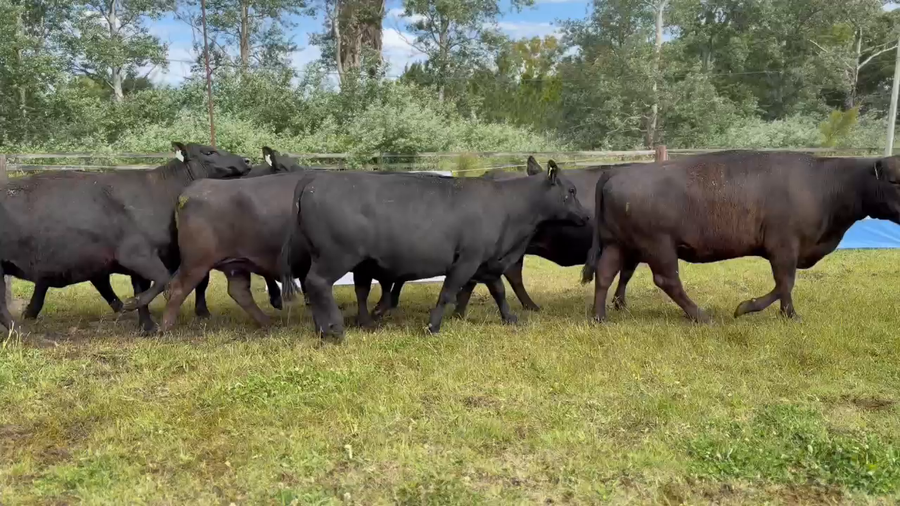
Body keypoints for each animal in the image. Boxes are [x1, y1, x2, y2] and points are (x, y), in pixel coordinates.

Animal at [0, 143, 251, 333]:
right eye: (209, 152)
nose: (247, 160)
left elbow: (145, 287)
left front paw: (146, 325)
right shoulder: (137, 254)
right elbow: (163, 280)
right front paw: (134, 306)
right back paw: (20, 330)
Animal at [278, 159, 591, 343]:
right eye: (572, 190)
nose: (587, 216)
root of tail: (315, 181)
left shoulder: (487, 262)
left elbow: (499, 290)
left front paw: (510, 318)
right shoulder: (466, 260)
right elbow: (448, 292)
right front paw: (433, 327)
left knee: (326, 288)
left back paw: (331, 328)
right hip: (336, 256)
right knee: (318, 284)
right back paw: (334, 330)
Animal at [582, 150, 900, 323]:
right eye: (895, 180)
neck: (824, 183)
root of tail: (616, 173)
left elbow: (784, 286)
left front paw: (786, 314)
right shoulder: (783, 247)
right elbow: (784, 283)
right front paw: (748, 308)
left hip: (618, 244)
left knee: (606, 273)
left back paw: (599, 317)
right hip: (658, 246)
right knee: (667, 280)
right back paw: (701, 315)